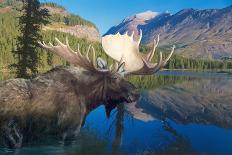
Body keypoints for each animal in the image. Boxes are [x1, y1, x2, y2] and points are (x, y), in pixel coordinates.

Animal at [0, 30, 174, 148]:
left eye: (126, 77)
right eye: (113, 78)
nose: (136, 93)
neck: (89, 100)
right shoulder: (67, 133)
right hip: (12, 136)